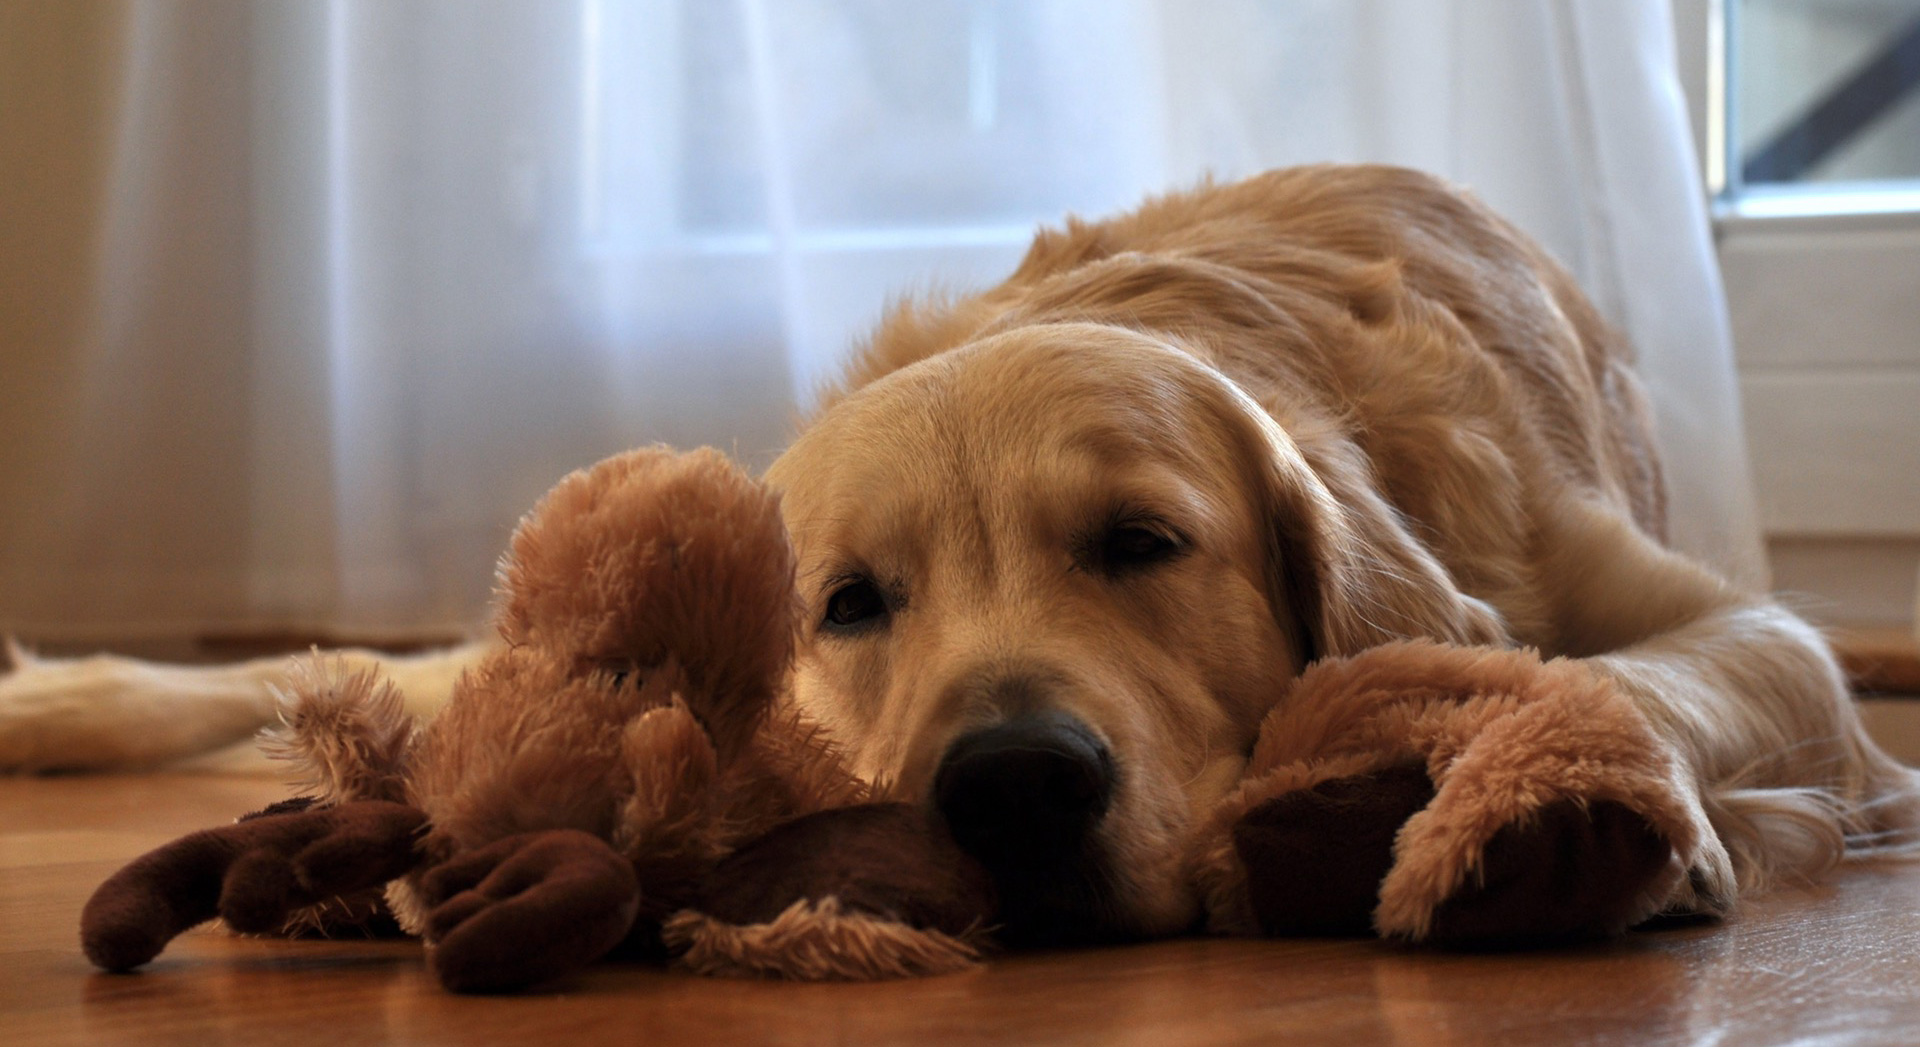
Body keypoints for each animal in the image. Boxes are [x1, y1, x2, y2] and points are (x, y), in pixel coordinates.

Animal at [7, 161, 1912, 937]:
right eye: (852, 601)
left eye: (1144, 542)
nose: (1008, 785)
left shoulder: (1746, 631)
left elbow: (1661, 674)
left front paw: (1575, 807)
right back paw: (62, 700)